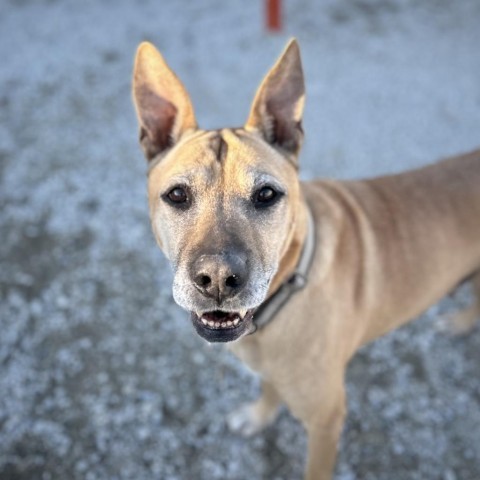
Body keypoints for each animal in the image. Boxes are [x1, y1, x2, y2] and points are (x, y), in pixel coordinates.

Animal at [131, 39, 480, 478]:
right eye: (177, 195)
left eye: (266, 194)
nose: (217, 279)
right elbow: (269, 386)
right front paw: (260, 415)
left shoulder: (326, 420)